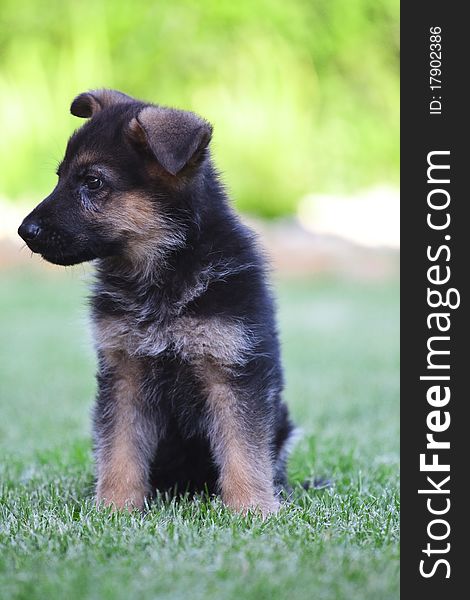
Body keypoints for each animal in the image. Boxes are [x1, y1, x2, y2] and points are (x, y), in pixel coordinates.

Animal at [17, 89, 294, 516]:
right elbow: (119, 449)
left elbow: (244, 450)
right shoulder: (124, 373)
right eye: (59, 177)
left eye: (92, 182)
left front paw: (252, 510)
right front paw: (114, 508)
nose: (23, 231)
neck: (162, 276)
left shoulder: (232, 371)